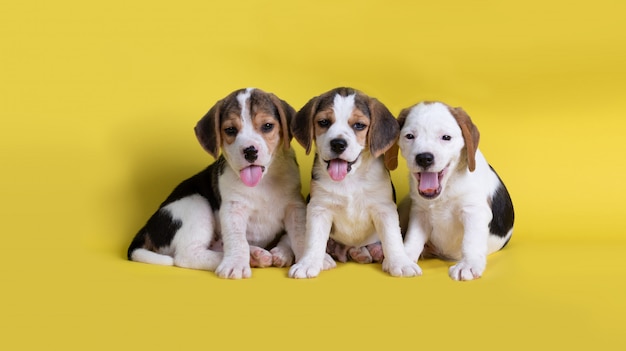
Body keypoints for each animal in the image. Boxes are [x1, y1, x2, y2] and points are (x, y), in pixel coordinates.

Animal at [126, 88, 304, 280]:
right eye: (230, 130)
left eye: (267, 126)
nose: (250, 151)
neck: (262, 182)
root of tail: (146, 228)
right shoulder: (233, 208)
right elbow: (237, 240)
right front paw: (235, 264)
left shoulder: (295, 207)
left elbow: (300, 235)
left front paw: (307, 259)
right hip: (196, 203)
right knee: (186, 256)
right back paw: (246, 258)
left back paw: (256, 255)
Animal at [286, 86, 420, 280]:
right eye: (324, 122)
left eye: (359, 125)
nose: (338, 144)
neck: (350, 179)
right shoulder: (319, 208)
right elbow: (313, 240)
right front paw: (308, 263)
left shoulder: (384, 209)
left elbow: (392, 238)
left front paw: (401, 263)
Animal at [394, 101, 512, 280]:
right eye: (409, 136)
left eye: (446, 137)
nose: (424, 158)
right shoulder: (419, 212)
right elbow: (413, 238)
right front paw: (403, 258)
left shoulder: (474, 212)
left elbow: (471, 241)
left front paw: (468, 264)